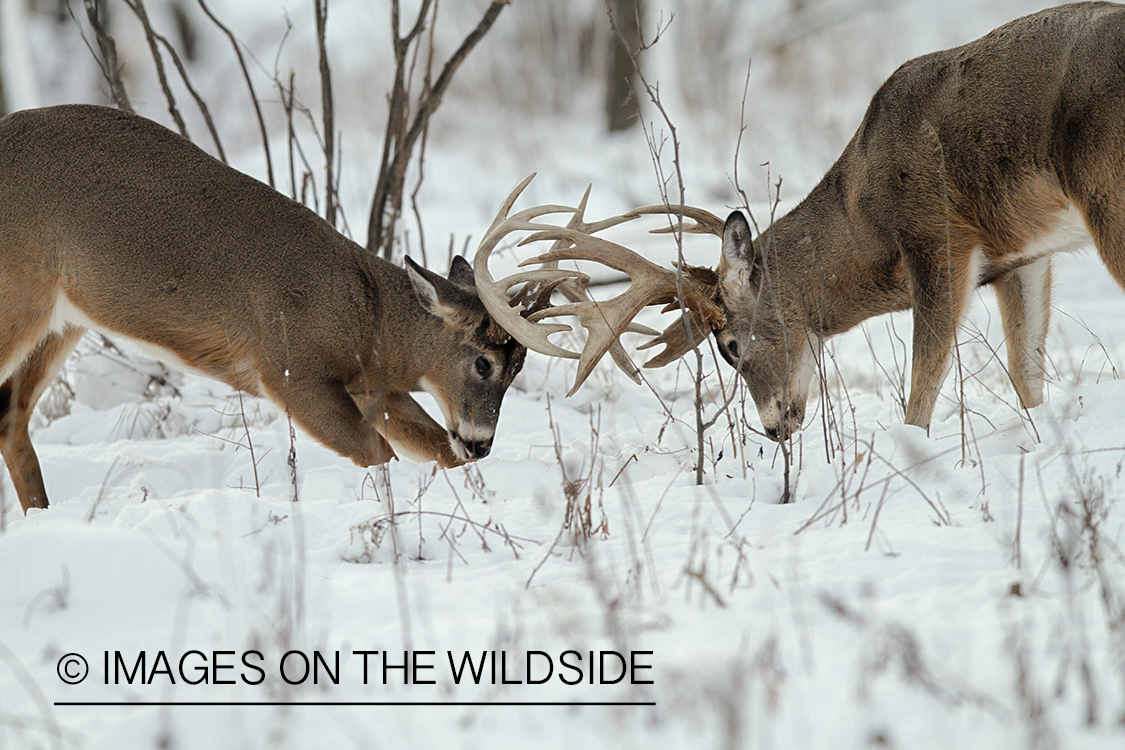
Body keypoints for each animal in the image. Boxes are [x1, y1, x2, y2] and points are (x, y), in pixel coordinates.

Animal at [1, 105, 526, 512]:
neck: (366, 318)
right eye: (483, 362)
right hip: (19, 297)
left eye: (519, 368)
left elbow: (436, 446)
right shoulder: (290, 369)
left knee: (10, 418)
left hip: (62, 321)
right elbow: (379, 454)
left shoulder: (372, 385)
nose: (482, 444)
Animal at [474, 2, 1125, 443]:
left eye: (731, 347)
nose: (774, 428)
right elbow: (1027, 375)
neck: (864, 215)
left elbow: (921, 389)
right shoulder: (1020, 254)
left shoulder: (936, 238)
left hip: (1106, 191)